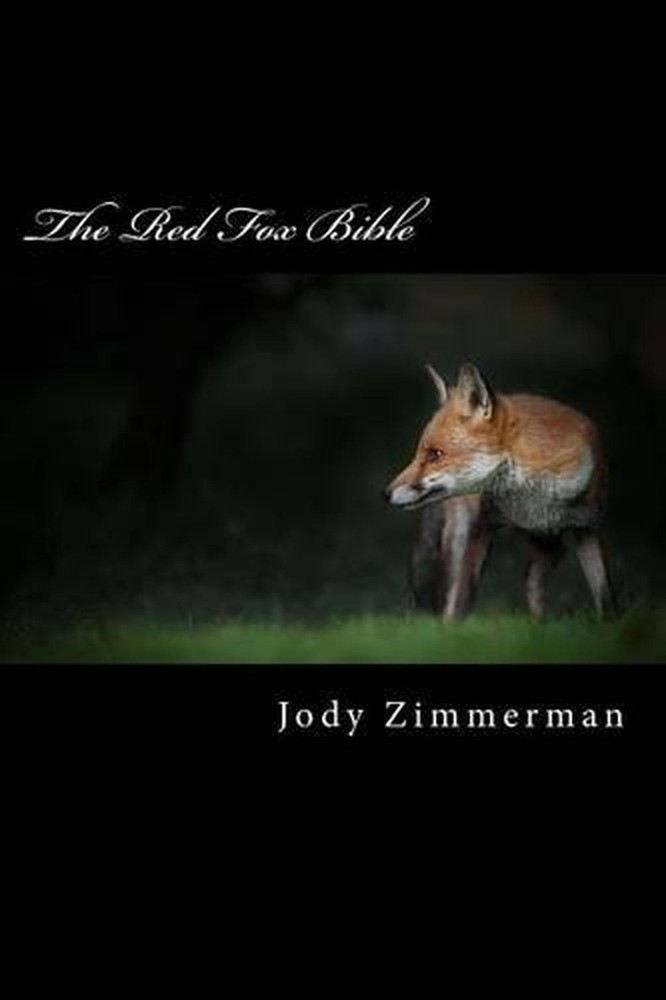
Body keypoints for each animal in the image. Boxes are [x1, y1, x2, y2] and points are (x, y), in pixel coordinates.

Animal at [383, 362, 617, 620]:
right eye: (420, 453)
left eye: (435, 454)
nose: (386, 493)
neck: (534, 498)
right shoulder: (480, 528)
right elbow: (460, 597)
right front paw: (452, 628)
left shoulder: (589, 528)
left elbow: (606, 598)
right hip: (461, 534)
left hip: (550, 544)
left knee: (531, 577)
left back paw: (538, 622)